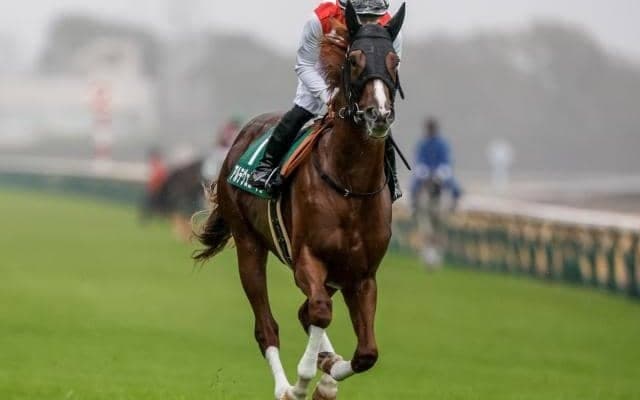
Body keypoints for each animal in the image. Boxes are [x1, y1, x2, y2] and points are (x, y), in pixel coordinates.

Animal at [193, 3, 406, 399]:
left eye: (394, 59)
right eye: (353, 59)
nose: (379, 114)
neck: (350, 186)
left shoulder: (362, 274)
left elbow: (366, 352)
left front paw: (328, 373)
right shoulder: (308, 257)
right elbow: (320, 313)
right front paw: (304, 380)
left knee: (305, 314)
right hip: (249, 245)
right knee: (268, 325)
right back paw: (284, 386)